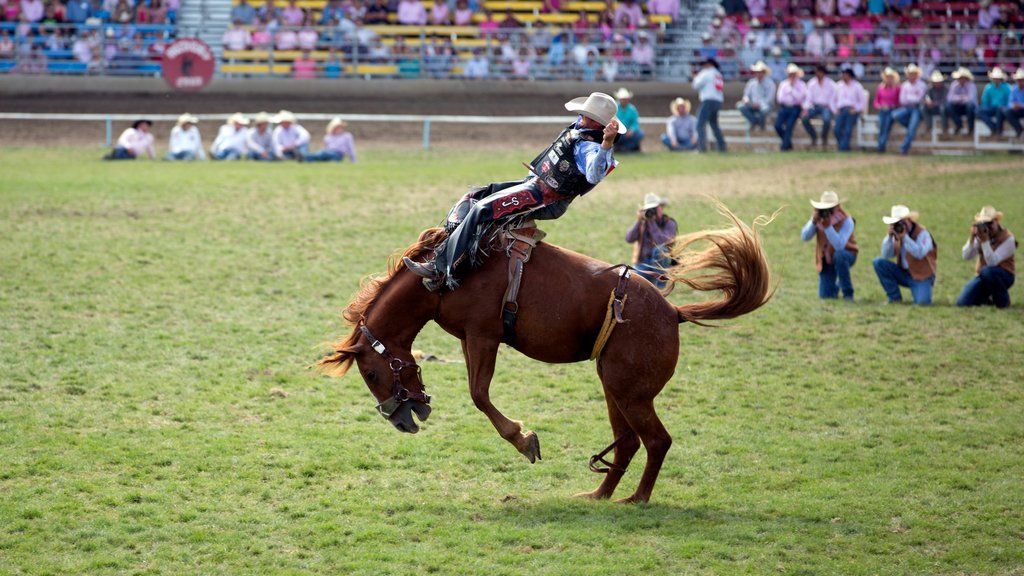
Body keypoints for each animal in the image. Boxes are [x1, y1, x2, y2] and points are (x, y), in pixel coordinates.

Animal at [315, 199, 770, 500]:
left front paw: (524, 440)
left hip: (630, 392)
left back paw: (636, 499)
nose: (400, 422)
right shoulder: (468, 339)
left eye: (371, 373)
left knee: (657, 441)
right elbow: (478, 392)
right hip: (615, 387)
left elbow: (479, 394)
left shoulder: (483, 336)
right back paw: (598, 495)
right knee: (628, 442)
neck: (447, 275)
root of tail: (673, 312)